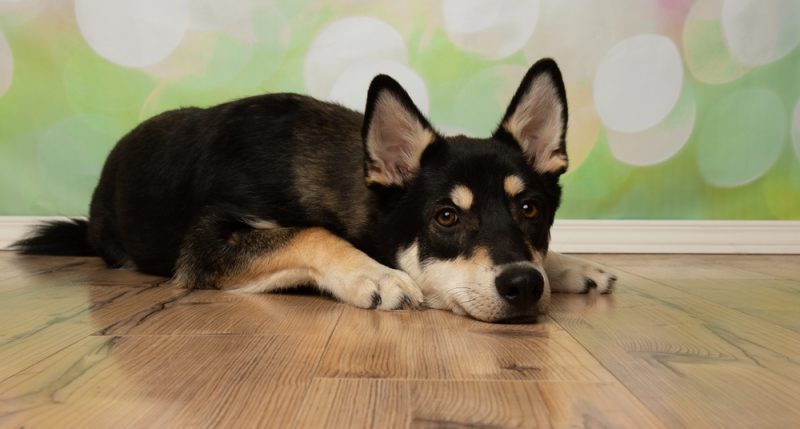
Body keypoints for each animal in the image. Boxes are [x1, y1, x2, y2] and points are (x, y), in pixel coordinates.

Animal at [15, 59, 620, 320]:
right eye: (446, 217)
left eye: (530, 208)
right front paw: (377, 275)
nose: (524, 286)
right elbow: (310, 234)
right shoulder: (208, 245)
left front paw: (570, 265)